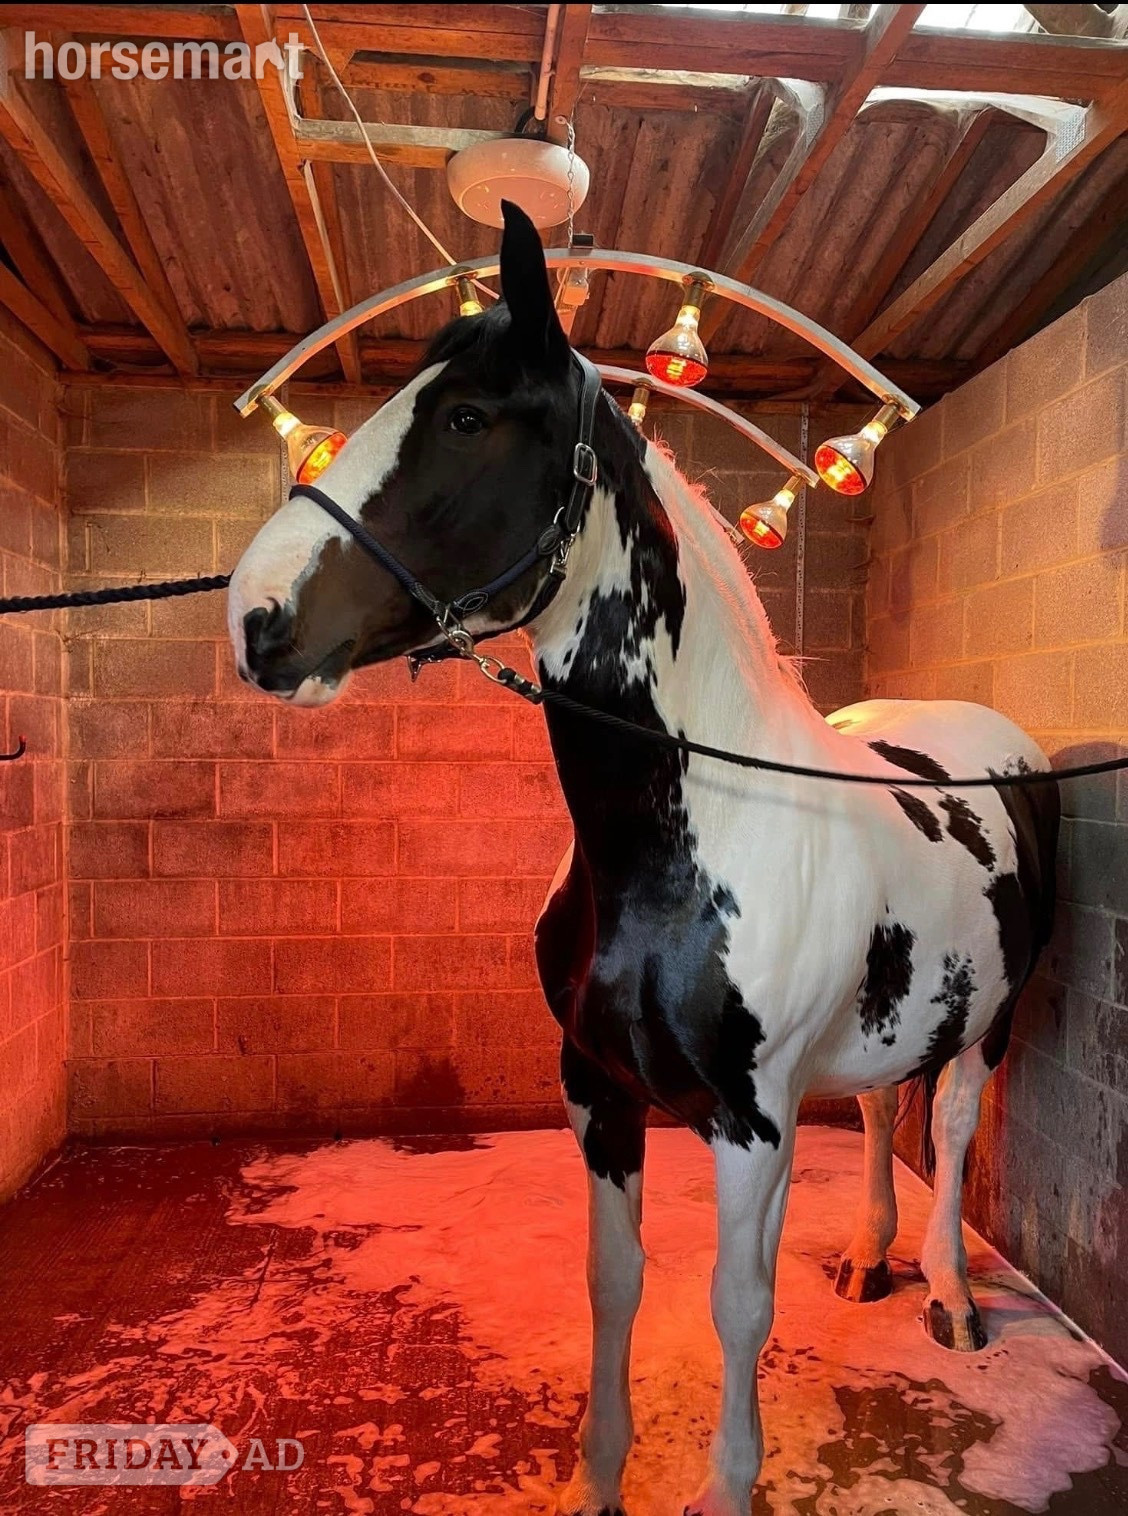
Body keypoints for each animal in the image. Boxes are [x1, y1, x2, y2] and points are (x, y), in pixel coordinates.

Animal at [227, 202, 1059, 1516]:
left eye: (467, 416)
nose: (255, 616)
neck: (686, 845)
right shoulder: (597, 1090)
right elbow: (613, 1284)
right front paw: (600, 1479)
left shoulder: (751, 1123)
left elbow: (737, 1307)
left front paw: (727, 1485)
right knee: (886, 1108)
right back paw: (868, 1259)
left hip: (997, 1018)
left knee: (957, 1123)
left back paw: (949, 1297)